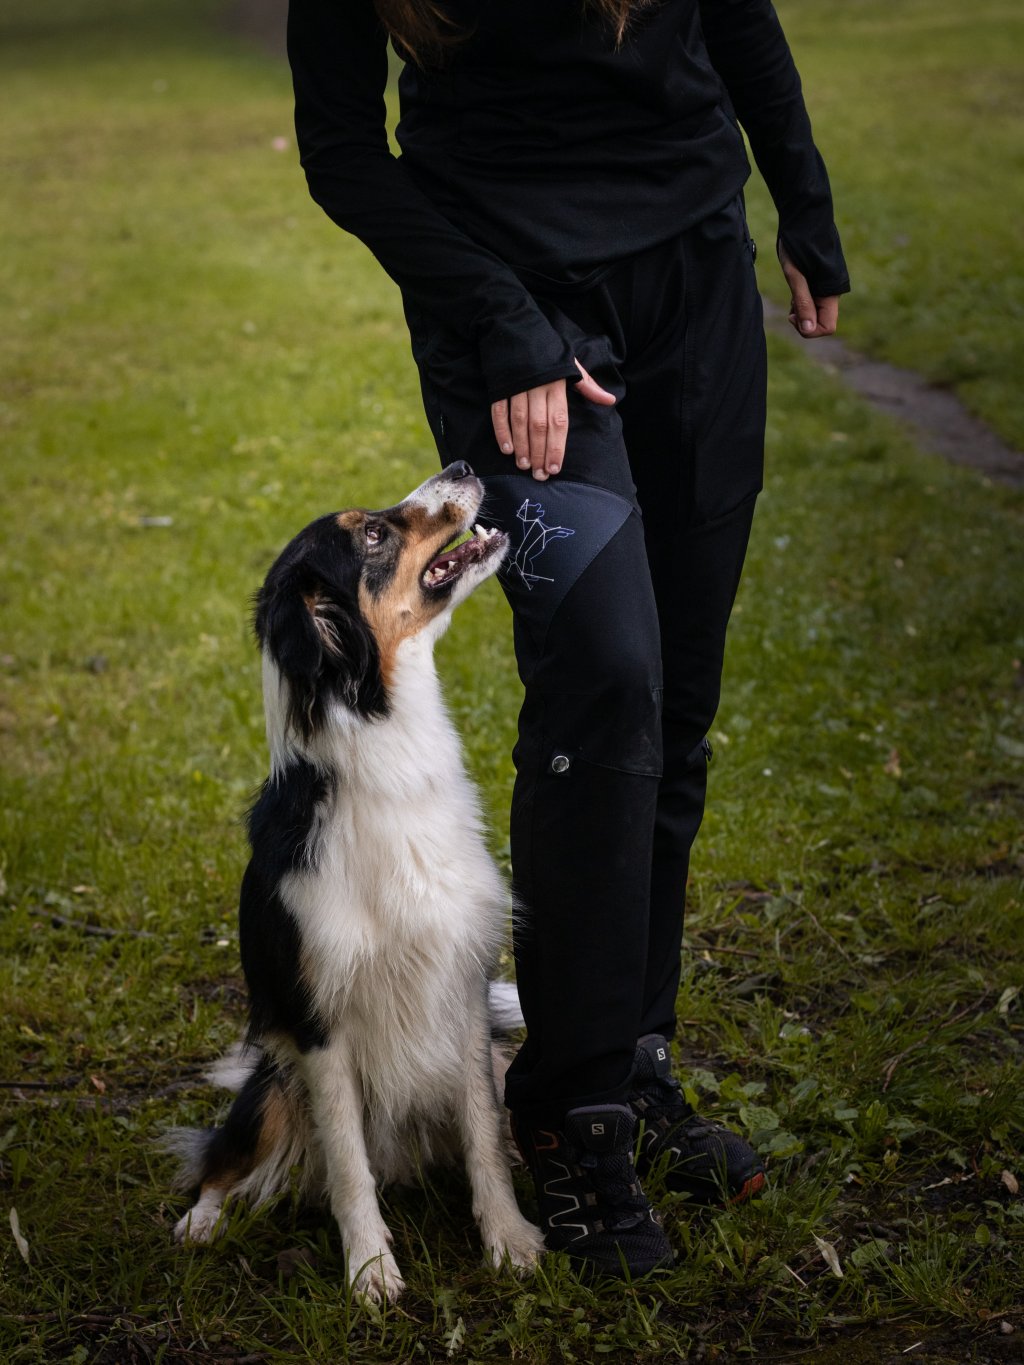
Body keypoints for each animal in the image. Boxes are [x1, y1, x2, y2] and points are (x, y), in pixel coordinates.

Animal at [168, 461, 546, 1299]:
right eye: (373, 534)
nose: (464, 466)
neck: (388, 750)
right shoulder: (320, 1021)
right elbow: (347, 1161)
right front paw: (371, 1269)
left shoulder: (462, 986)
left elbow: (481, 1132)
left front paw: (509, 1237)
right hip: (274, 1086)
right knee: (221, 1158)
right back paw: (200, 1223)